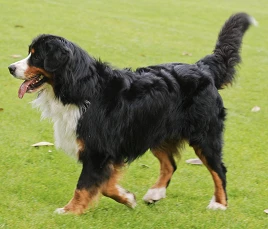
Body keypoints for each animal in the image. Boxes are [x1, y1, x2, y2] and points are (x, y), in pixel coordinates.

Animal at [7, 13, 255, 215]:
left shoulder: (98, 149)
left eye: (35, 56)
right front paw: (127, 198)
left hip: (204, 134)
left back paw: (219, 204)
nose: (10, 68)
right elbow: (105, 185)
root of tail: (202, 68)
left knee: (218, 169)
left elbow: (85, 185)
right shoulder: (109, 150)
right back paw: (155, 193)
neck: (81, 88)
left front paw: (69, 210)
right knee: (170, 164)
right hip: (155, 130)